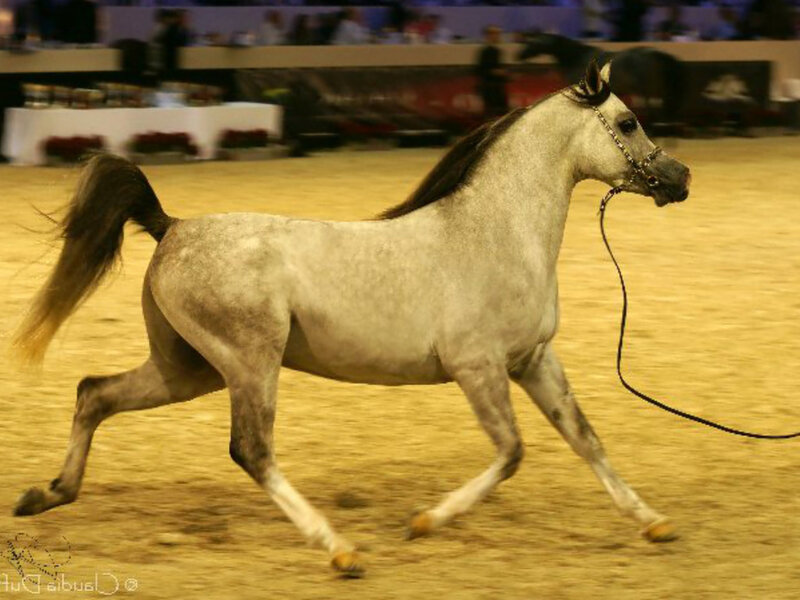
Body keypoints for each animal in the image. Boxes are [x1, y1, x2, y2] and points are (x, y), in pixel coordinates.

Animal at [12, 60, 690, 578]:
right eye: (627, 121)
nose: (678, 177)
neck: (494, 232)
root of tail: (171, 226)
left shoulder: (533, 360)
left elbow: (584, 437)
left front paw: (654, 523)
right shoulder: (478, 367)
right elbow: (511, 452)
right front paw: (423, 522)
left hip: (188, 368)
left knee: (94, 393)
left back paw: (46, 494)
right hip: (249, 364)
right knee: (251, 450)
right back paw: (340, 550)